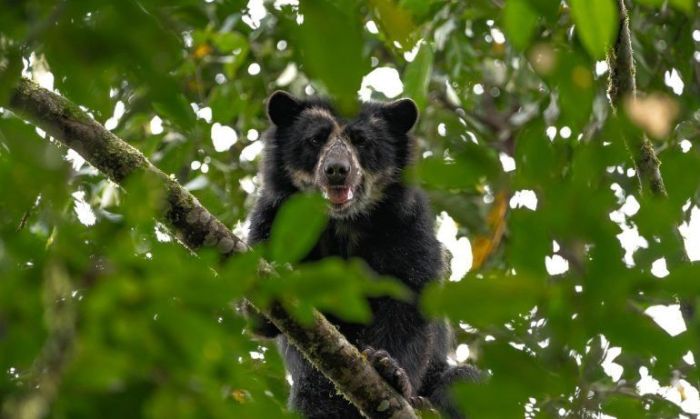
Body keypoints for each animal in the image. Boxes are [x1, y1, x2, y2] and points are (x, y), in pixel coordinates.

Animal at [245, 90, 476, 418]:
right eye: (315, 139)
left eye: (362, 141)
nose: (337, 170)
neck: (344, 223)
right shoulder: (271, 219)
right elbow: (261, 318)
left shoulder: (407, 224)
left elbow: (408, 299)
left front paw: (390, 371)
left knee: (464, 381)